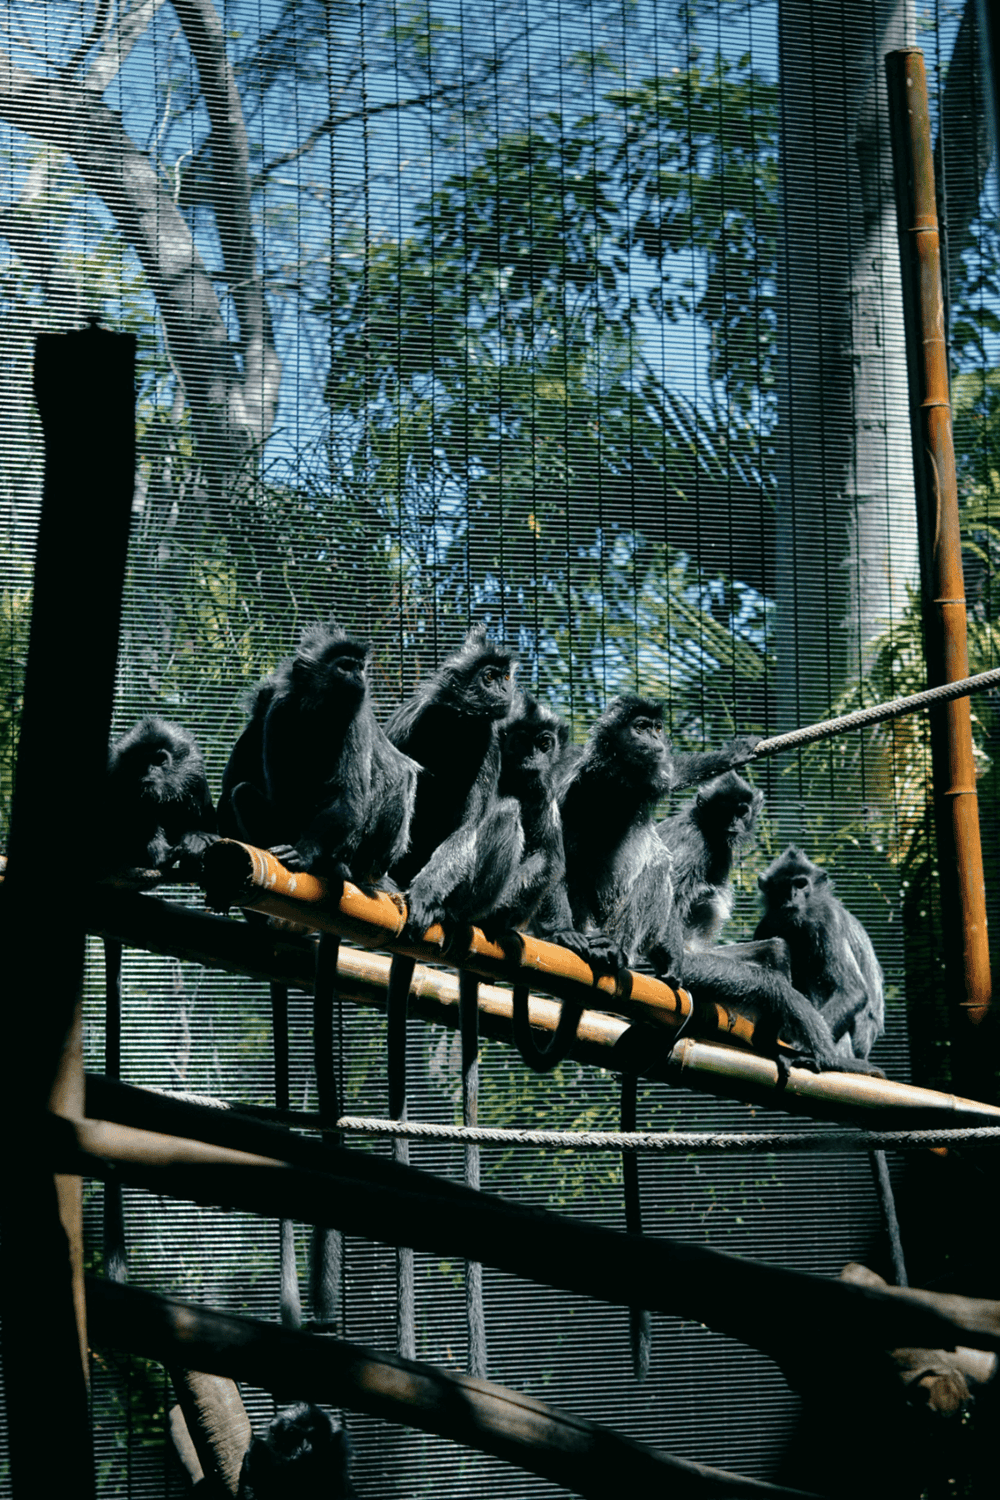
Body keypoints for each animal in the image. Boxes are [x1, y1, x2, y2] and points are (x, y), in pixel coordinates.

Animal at [217, 622, 419, 889]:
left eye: (360, 667)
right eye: (345, 666)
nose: (359, 677)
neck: (320, 715)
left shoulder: (355, 718)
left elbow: (348, 798)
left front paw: (304, 853)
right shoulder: (280, 711)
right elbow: (283, 796)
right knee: (244, 794)